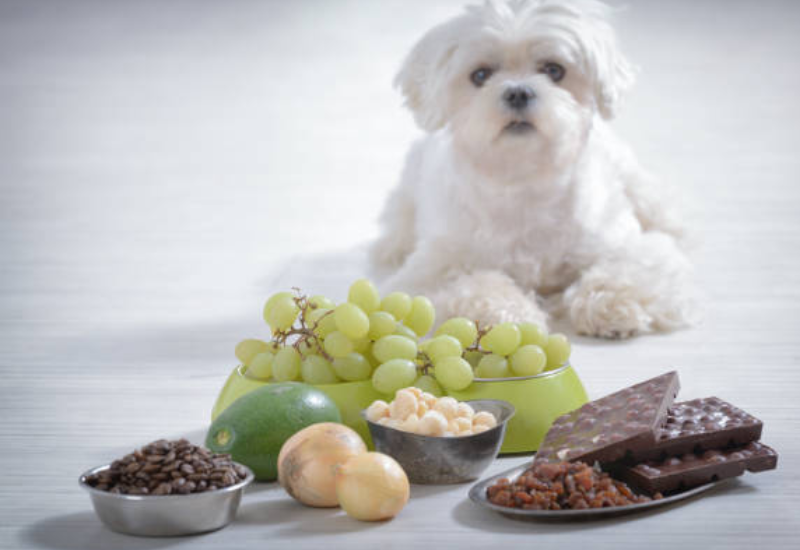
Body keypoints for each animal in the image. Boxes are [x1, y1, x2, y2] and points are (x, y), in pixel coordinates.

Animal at [368, 0, 692, 340]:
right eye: (480, 75)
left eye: (554, 70)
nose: (518, 92)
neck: (524, 180)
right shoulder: (430, 271)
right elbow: (475, 284)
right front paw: (506, 316)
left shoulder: (628, 245)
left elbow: (627, 269)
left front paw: (612, 303)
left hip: (638, 186)